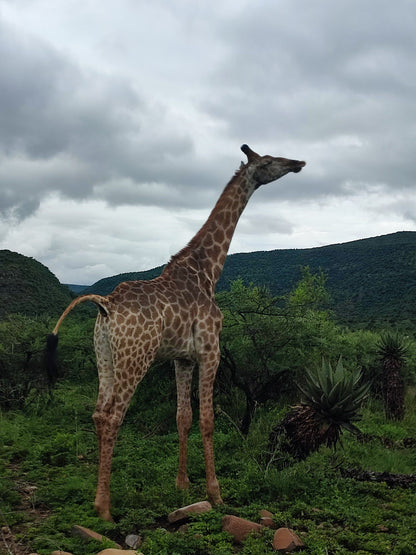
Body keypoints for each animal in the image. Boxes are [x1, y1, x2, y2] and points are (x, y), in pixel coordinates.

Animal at [47, 143, 306, 520]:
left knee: (97, 412)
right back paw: (104, 508)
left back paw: (98, 497)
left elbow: (183, 417)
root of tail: (105, 304)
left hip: (104, 356)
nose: (299, 163)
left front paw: (181, 485)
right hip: (135, 358)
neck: (207, 271)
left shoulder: (181, 358)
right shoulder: (211, 350)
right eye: (270, 161)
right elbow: (208, 420)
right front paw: (216, 494)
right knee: (112, 417)